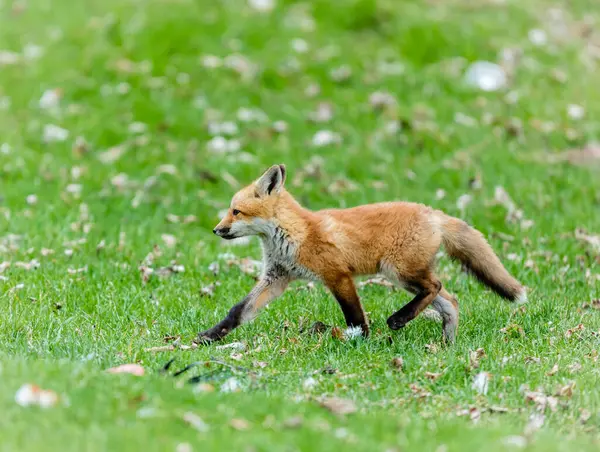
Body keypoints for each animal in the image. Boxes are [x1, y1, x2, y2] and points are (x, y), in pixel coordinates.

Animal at [199, 164, 528, 344]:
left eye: (236, 211)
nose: (216, 229)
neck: (293, 234)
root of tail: (432, 213)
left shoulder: (337, 275)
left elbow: (355, 315)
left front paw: (360, 340)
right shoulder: (276, 278)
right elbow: (239, 311)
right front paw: (209, 337)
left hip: (398, 271)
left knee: (435, 287)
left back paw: (399, 319)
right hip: (404, 275)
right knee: (450, 300)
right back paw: (447, 344)